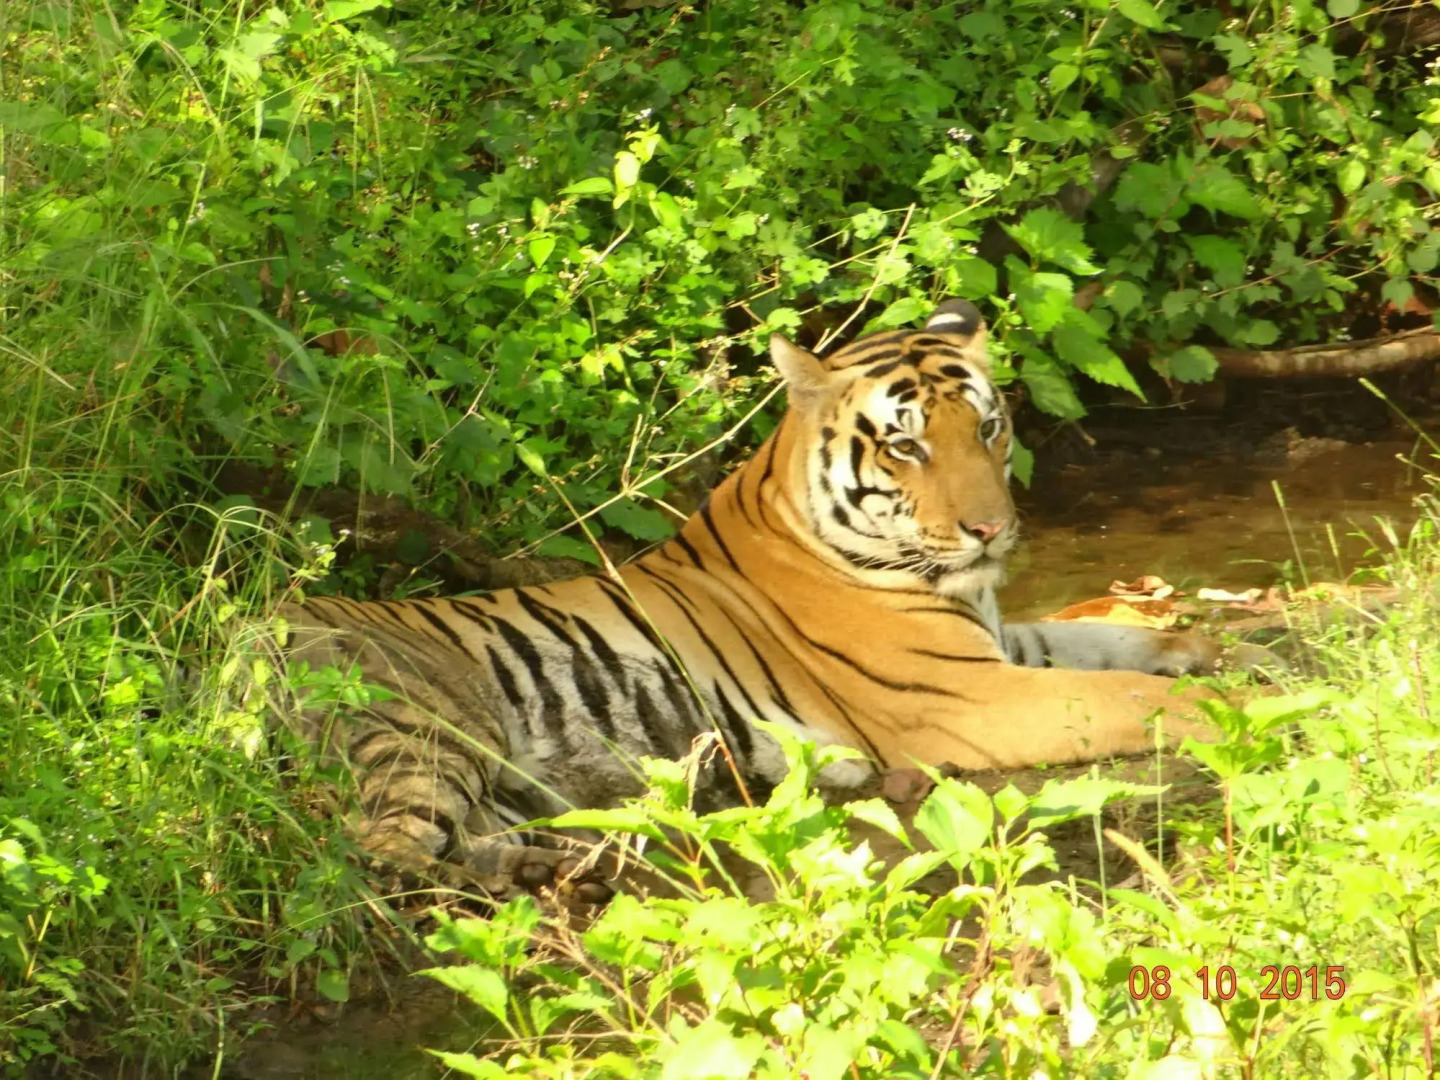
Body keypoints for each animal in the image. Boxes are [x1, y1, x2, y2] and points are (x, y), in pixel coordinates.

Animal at [267, 298, 1242, 900]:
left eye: (990, 428)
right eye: (907, 448)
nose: (991, 530)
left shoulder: (996, 646)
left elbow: (1105, 641)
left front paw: (1205, 649)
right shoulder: (969, 696)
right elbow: (1124, 694)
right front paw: (1231, 707)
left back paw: (560, 861)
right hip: (424, 725)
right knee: (377, 853)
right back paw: (521, 879)